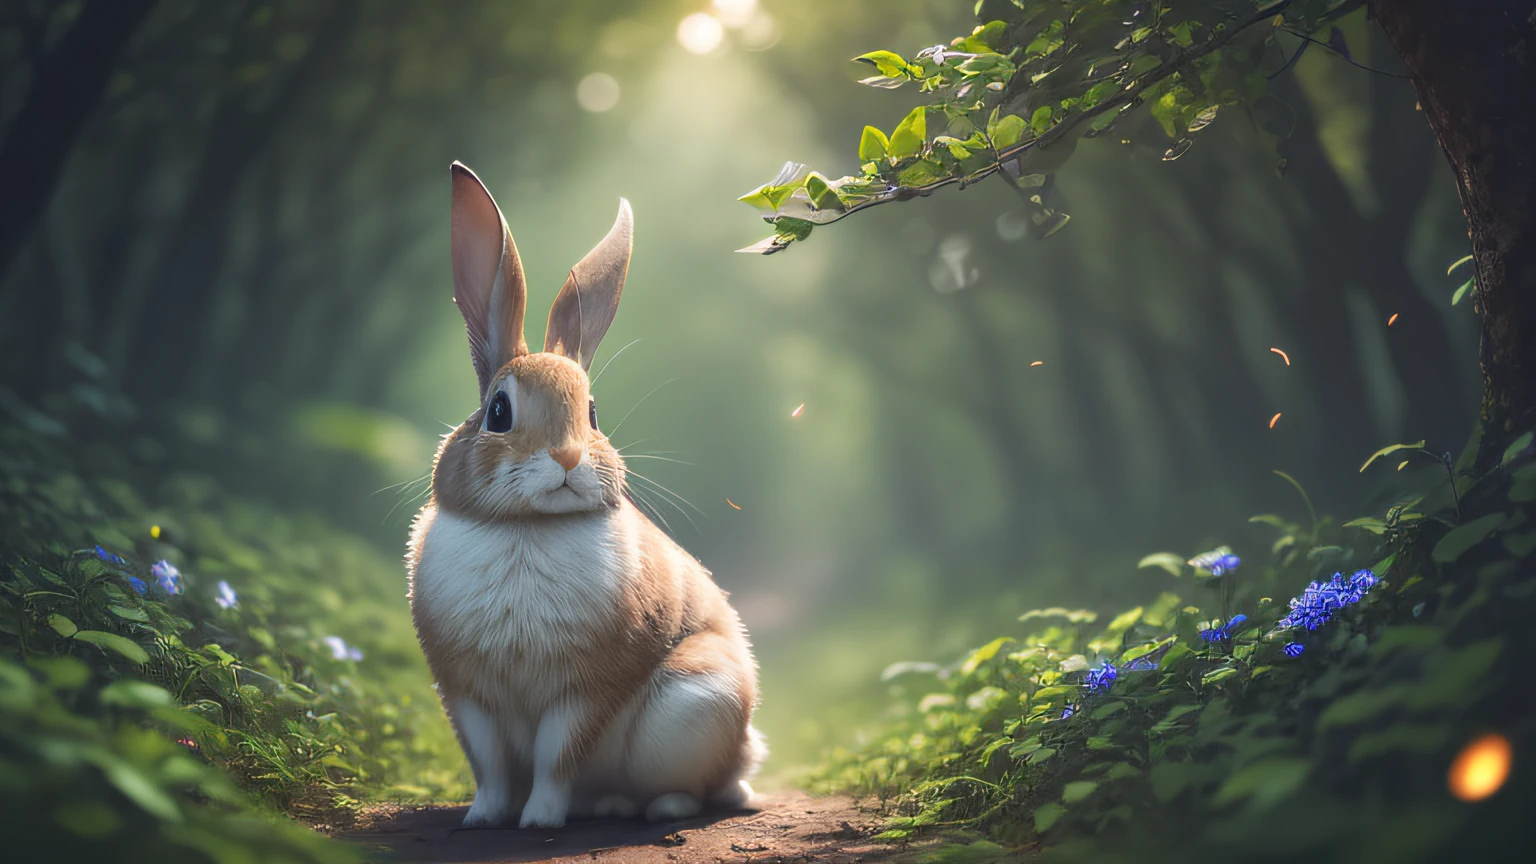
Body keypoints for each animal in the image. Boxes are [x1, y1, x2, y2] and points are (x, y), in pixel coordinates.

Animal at [405, 162, 764, 830]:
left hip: (698, 705)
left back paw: (658, 809)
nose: (569, 458)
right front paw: (483, 819)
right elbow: (489, 766)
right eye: (498, 412)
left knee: (701, 788)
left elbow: (556, 756)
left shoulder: (583, 690)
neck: (527, 528)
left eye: (592, 413)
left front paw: (539, 821)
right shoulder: (467, 694)